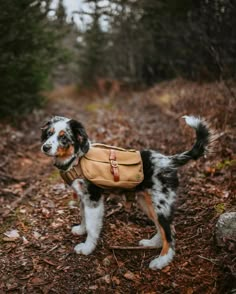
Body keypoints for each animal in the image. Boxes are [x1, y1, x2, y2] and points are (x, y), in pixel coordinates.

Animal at [40, 115, 214, 272]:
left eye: (64, 137)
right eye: (49, 133)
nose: (45, 147)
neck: (77, 160)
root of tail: (169, 161)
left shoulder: (93, 199)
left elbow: (92, 226)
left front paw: (87, 248)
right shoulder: (83, 198)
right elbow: (83, 217)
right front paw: (81, 230)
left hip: (161, 204)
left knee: (170, 235)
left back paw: (162, 260)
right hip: (147, 203)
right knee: (164, 229)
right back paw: (152, 243)